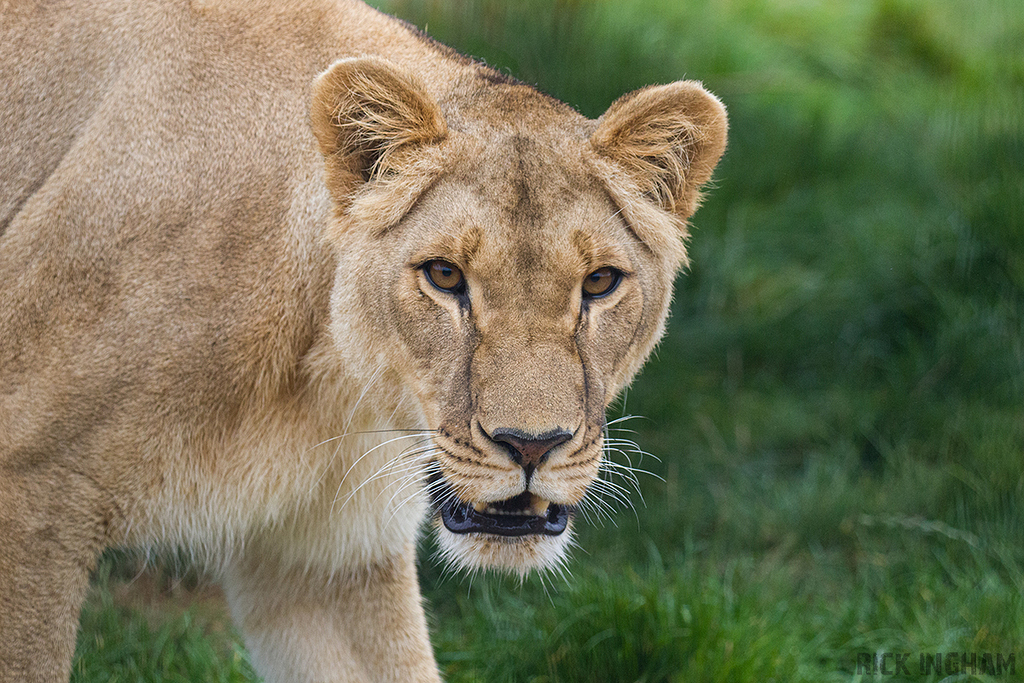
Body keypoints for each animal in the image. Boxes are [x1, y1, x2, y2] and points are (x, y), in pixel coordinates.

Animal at [0, 0, 727, 680]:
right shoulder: (33, 499)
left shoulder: (329, 554)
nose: (531, 444)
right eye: (444, 275)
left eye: (599, 282)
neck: (332, 384)